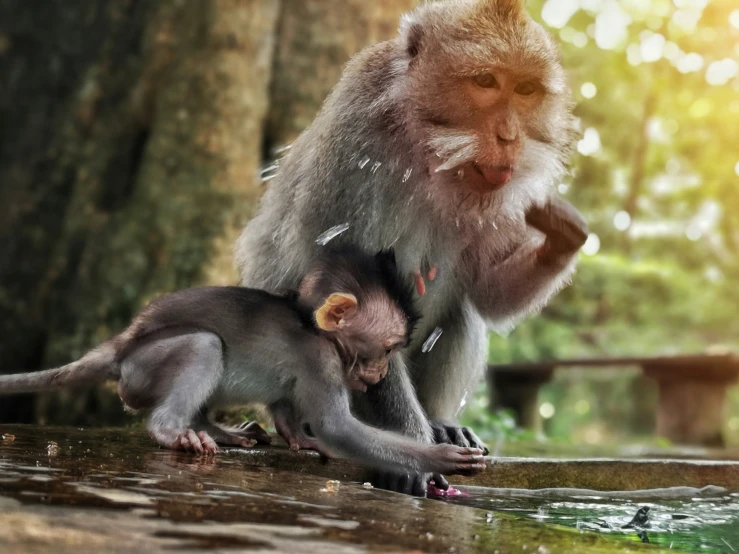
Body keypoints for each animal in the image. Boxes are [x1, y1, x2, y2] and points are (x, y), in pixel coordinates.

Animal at [0, 246, 486, 474]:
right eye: (387, 348)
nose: (381, 371)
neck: (312, 325)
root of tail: (119, 345)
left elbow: (286, 403)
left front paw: (298, 437)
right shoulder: (320, 358)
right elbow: (337, 427)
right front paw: (437, 458)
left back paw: (215, 429)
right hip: (141, 370)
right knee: (205, 346)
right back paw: (174, 431)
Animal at [237, 0, 588, 492]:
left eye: (525, 89)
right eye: (485, 82)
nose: (509, 137)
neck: (429, 149)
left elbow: (488, 294)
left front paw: (562, 233)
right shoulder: (356, 143)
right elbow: (356, 296)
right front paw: (416, 455)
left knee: (464, 311)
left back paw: (441, 421)